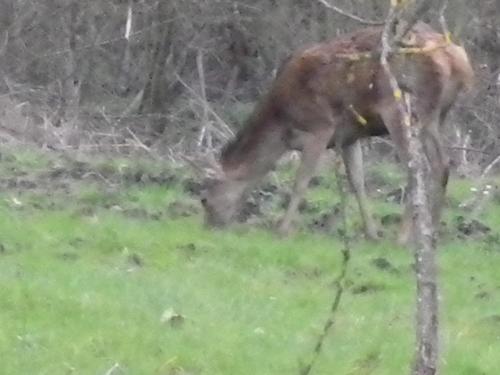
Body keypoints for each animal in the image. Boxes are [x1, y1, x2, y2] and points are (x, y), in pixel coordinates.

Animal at [198, 22, 472, 242]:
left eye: (205, 199)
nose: (210, 227)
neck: (282, 124)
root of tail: (457, 59)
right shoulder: (350, 135)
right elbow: (357, 182)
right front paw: (371, 233)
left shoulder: (321, 126)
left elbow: (301, 181)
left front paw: (282, 230)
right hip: (436, 116)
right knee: (442, 164)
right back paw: (431, 231)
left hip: (400, 107)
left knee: (418, 168)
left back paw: (403, 237)